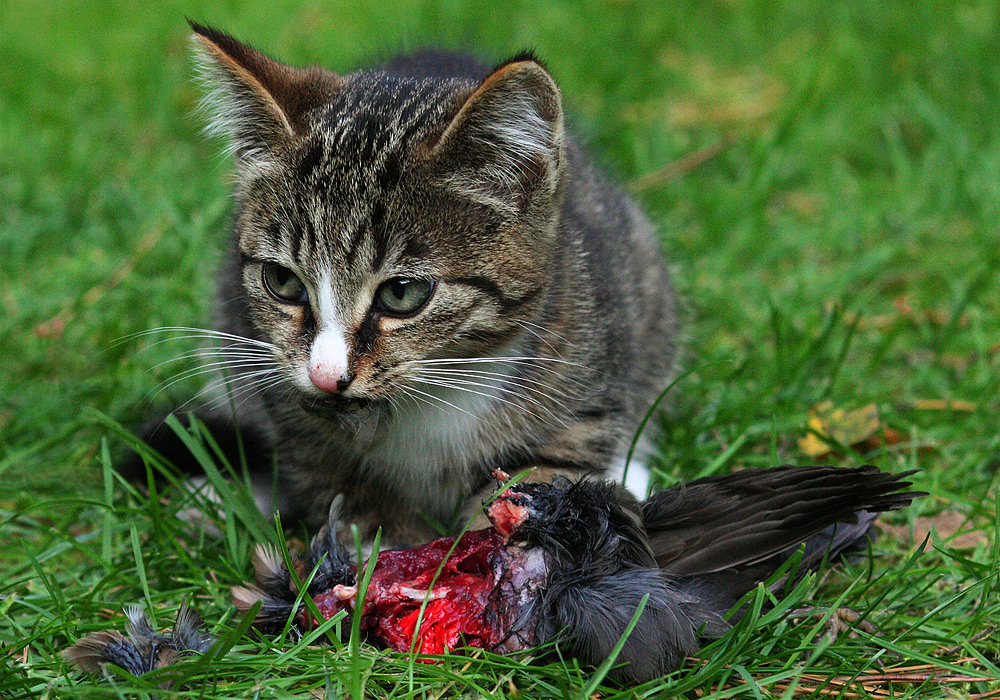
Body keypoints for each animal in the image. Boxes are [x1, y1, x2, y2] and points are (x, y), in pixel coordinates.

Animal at [129, 23, 680, 548]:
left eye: (402, 294)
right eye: (282, 281)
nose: (325, 375)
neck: (433, 396)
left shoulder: (585, 383)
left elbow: (543, 485)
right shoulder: (290, 408)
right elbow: (346, 493)